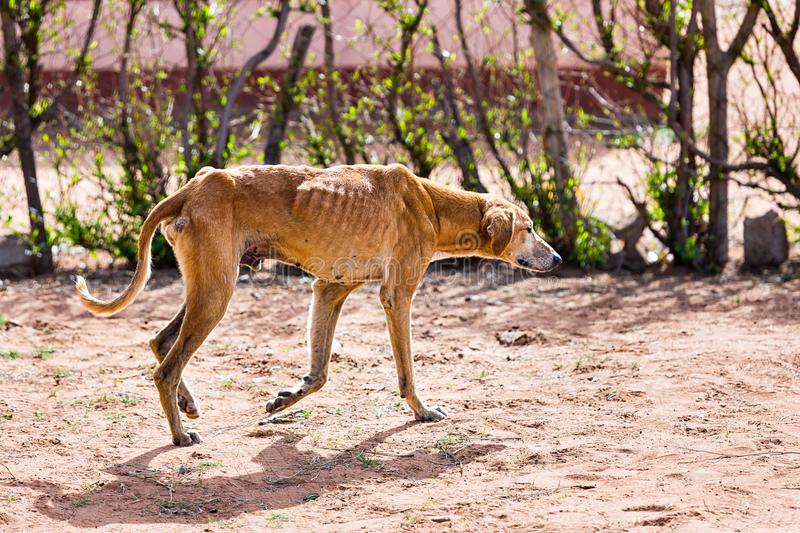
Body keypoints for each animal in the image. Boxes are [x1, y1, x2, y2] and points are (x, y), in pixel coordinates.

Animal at [76, 164, 564, 446]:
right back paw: (180, 434)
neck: (430, 203)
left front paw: (286, 398)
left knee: (160, 343)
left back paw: (188, 403)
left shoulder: (330, 290)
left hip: (208, 289)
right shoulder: (396, 296)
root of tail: (192, 187)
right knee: (166, 368)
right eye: (529, 228)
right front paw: (422, 412)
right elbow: (406, 371)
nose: (558, 259)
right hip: (216, 294)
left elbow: (320, 372)